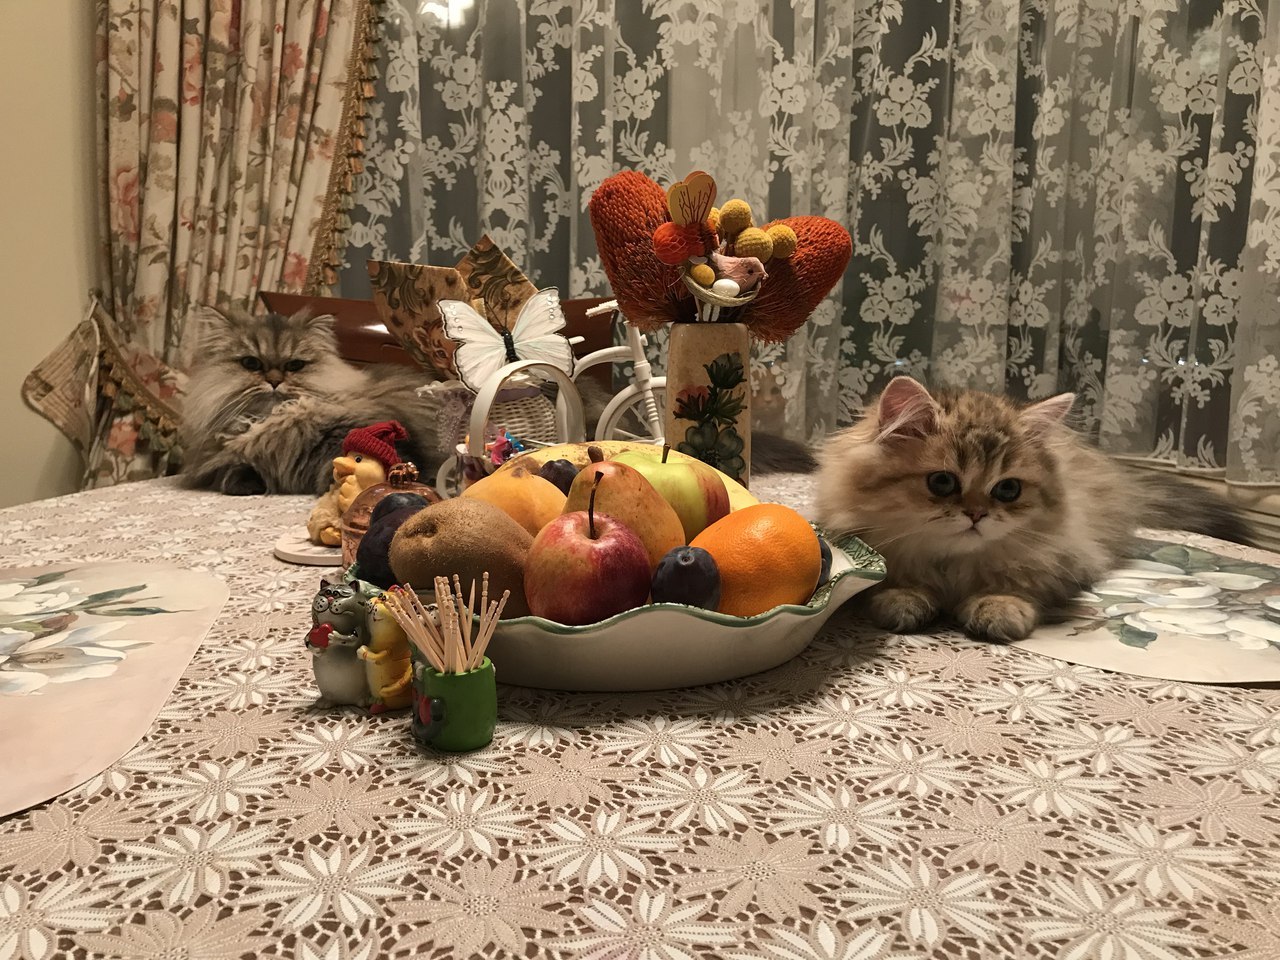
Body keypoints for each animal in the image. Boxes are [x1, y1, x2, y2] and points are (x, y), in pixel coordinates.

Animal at [177, 308, 442, 496]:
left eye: (295, 365)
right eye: (251, 363)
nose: (274, 381)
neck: (276, 419)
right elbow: (236, 469)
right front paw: (246, 485)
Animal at [819, 378, 1249, 642]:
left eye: (1007, 489)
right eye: (942, 483)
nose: (977, 515)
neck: (951, 566)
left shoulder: (1060, 557)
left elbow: (1016, 585)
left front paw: (999, 608)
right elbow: (898, 583)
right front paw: (904, 599)